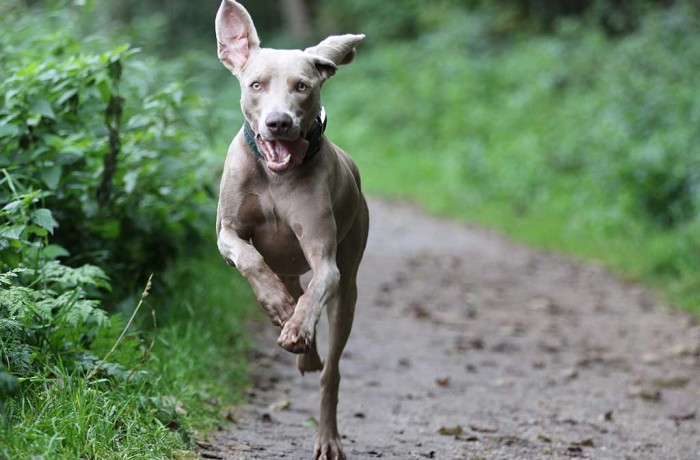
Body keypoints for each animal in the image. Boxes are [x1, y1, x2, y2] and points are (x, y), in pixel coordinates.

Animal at [213, 1, 370, 458]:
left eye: (302, 86)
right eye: (256, 85)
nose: (279, 122)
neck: (274, 176)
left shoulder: (326, 260)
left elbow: (318, 287)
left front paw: (297, 328)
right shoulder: (226, 234)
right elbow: (249, 259)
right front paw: (279, 308)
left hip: (348, 287)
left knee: (331, 368)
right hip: (285, 264)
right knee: (288, 283)